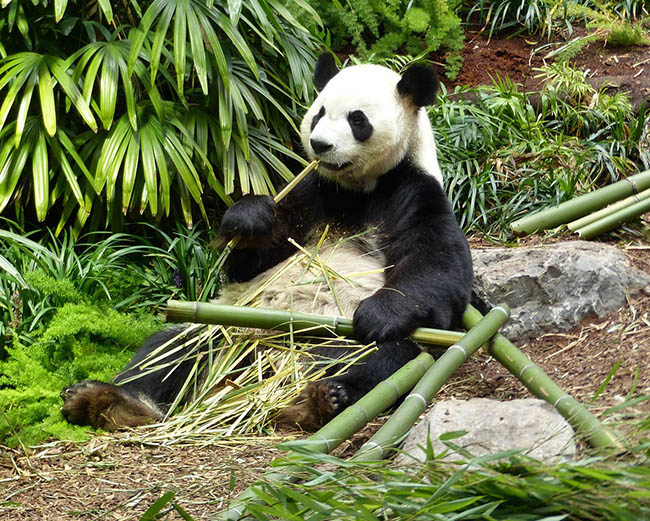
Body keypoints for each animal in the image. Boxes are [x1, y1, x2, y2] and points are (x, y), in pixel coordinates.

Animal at [60, 53, 470, 430]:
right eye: (319, 114)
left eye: (358, 120)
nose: (319, 145)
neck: (358, 188)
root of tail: (255, 359)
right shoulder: (313, 191)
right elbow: (253, 260)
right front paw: (249, 218)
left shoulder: (413, 191)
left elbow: (438, 269)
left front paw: (376, 314)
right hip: (220, 325)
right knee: (168, 349)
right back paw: (106, 400)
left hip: (339, 343)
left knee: (373, 357)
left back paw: (318, 399)